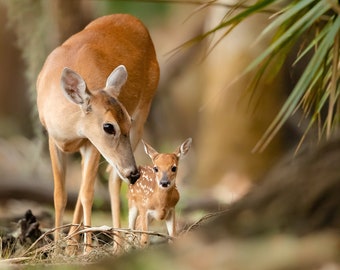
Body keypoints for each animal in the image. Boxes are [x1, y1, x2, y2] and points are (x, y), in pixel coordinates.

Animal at [36, 14, 159, 251]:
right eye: (108, 126)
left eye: (127, 121)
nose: (134, 172)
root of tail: (135, 20)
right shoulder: (53, 140)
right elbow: (60, 195)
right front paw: (57, 248)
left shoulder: (91, 143)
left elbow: (87, 195)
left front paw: (87, 251)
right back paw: (72, 244)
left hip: (145, 109)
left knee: (112, 178)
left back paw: (117, 245)